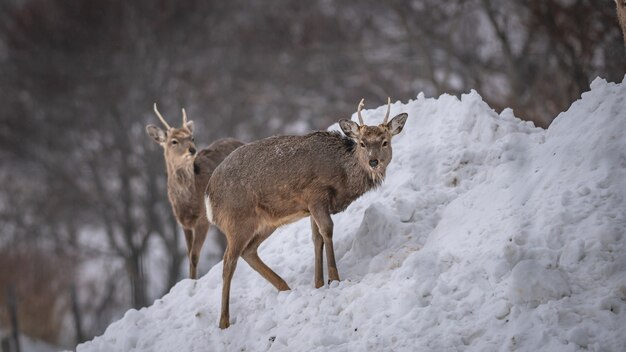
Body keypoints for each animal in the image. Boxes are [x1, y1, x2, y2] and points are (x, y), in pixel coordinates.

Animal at [146, 104, 244, 280]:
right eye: (174, 141)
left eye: (192, 138)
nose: (192, 150)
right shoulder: (183, 223)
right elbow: (188, 254)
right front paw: (191, 279)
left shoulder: (203, 219)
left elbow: (194, 256)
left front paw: (193, 281)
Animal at [206, 97, 410, 328]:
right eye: (362, 143)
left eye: (385, 141)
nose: (373, 162)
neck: (343, 177)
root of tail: (209, 197)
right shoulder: (315, 195)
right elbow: (327, 230)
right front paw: (334, 279)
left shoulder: (311, 206)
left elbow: (316, 238)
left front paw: (319, 283)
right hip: (237, 220)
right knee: (228, 261)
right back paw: (224, 321)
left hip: (266, 223)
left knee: (248, 251)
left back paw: (285, 288)